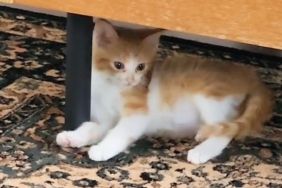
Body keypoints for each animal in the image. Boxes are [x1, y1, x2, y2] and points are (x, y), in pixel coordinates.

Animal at [56, 18, 274, 164]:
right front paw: (72, 137)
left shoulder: (138, 112)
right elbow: (91, 127)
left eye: (140, 67)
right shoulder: (104, 118)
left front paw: (102, 149)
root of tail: (250, 77)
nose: (132, 80)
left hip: (210, 96)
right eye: (118, 65)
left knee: (224, 132)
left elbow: (120, 132)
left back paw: (201, 152)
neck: (110, 87)